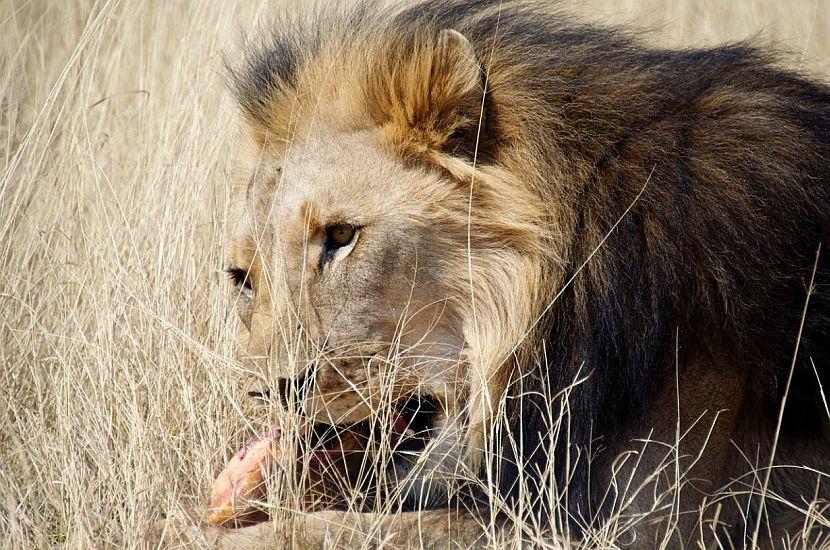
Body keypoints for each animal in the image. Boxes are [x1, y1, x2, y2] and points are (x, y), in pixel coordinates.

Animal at [150, 1, 830, 550]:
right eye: (242, 278)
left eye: (341, 237)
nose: (272, 391)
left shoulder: (651, 518)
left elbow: (347, 528)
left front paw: (185, 532)